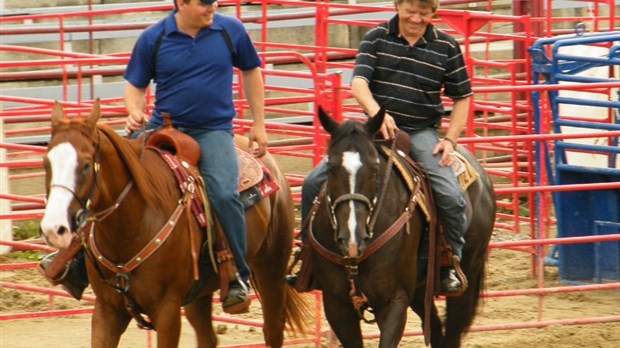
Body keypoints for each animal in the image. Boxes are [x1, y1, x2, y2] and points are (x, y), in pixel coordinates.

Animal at [38, 99, 308, 346]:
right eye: (45, 163)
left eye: (85, 165)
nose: (53, 228)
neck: (130, 228)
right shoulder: (107, 311)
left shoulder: (166, 310)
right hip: (199, 294)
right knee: (207, 337)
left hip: (271, 270)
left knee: (273, 330)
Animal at [310, 107, 498, 346]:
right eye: (330, 166)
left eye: (375, 168)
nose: (352, 238)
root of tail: (483, 178)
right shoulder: (336, 304)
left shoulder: (394, 300)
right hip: (420, 289)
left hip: (468, 274)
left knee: (452, 332)